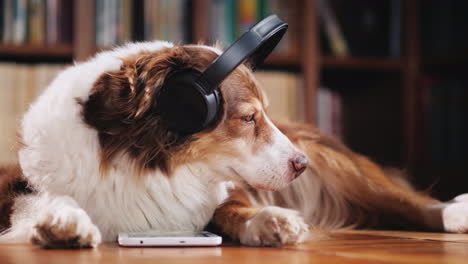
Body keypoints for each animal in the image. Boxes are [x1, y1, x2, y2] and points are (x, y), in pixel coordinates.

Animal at [0, 41, 468, 250]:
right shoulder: (19, 183)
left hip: (337, 163)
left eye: (264, 115)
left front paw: (268, 220)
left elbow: (232, 208)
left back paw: (455, 213)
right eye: (248, 118)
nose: (299, 164)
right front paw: (62, 221)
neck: (141, 162)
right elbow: (45, 201)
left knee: (405, 199)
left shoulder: (226, 189)